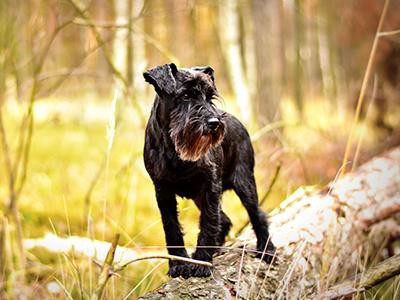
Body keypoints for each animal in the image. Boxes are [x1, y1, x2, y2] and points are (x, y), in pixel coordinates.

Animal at [142, 63, 274, 278]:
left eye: (210, 96)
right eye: (186, 95)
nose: (214, 123)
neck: (174, 150)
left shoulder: (210, 187)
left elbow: (208, 222)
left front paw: (202, 262)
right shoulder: (162, 191)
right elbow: (171, 227)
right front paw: (179, 263)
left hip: (245, 183)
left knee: (257, 214)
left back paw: (266, 249)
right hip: (199, 196)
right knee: (226, 220)